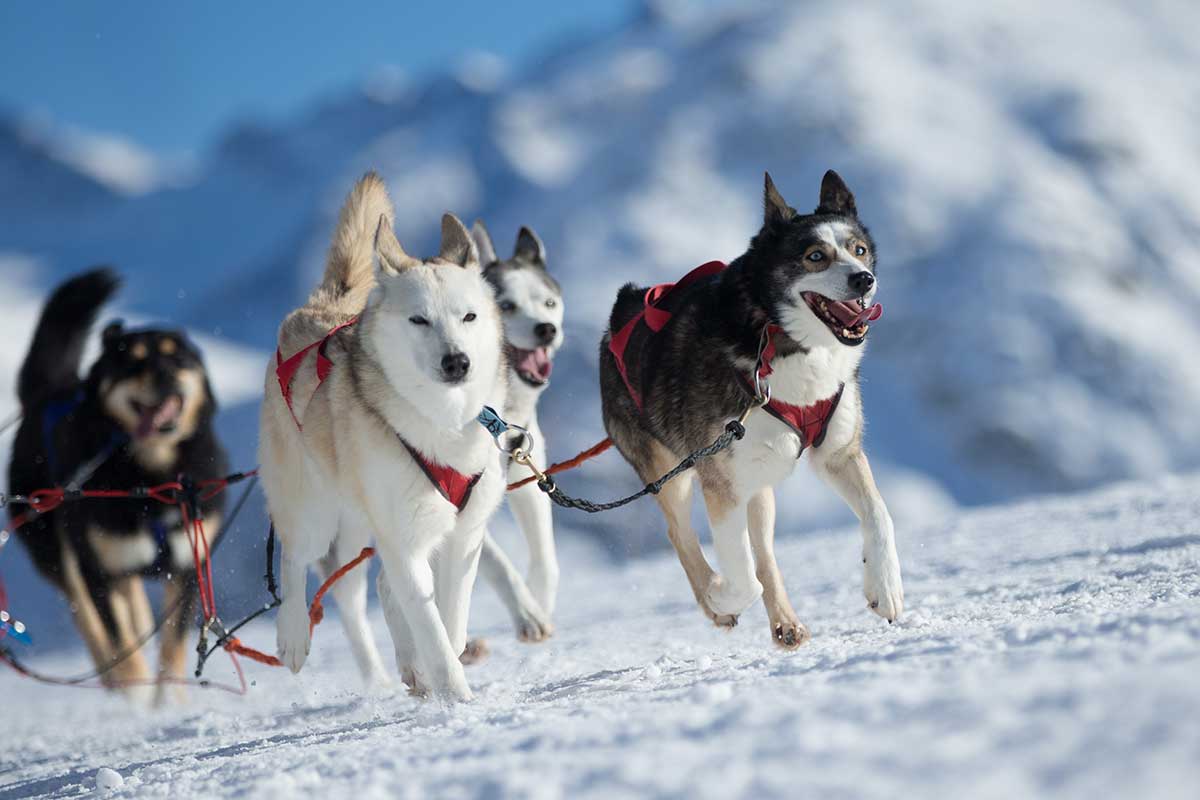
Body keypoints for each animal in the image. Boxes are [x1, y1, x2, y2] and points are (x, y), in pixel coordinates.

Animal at [8, 267, 226, 700]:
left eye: (177, 357)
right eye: (133, 362)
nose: (166, 374)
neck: (151, 476)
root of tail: (50, 392)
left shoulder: (189, 566)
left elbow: (173, 644)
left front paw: (170, 702)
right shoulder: (99, 573)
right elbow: (120, 642)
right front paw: (136, 701)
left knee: (135, 612)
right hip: (61, 556)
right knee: (92, 625)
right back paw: (113, 687)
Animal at [258, 175, 506, 700]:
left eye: (469, 317)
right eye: (419, 320)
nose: (457, 362)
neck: (441, 422)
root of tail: (321, 307)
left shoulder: (461, 537)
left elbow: (448, 622)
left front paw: (441, 670)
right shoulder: (405, 541)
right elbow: (430, 627)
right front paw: (458, 698)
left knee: (381, 589)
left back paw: (412, 668)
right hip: (316, 511)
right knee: (295, 559)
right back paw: (293, 635)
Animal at [597, 172, 902, 647]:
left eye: (859, 250)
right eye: (816, 256)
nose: (864, 280)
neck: (778, 337)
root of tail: (622, 311)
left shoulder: (838, 453)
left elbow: (879, 515)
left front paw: (884, 588)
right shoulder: (718, 479)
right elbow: (742, 577)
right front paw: (721, 596)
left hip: (759, 480)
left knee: (764, 554)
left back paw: (785, 623)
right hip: (670, 470)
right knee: (680, 533)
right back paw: (715, 599)